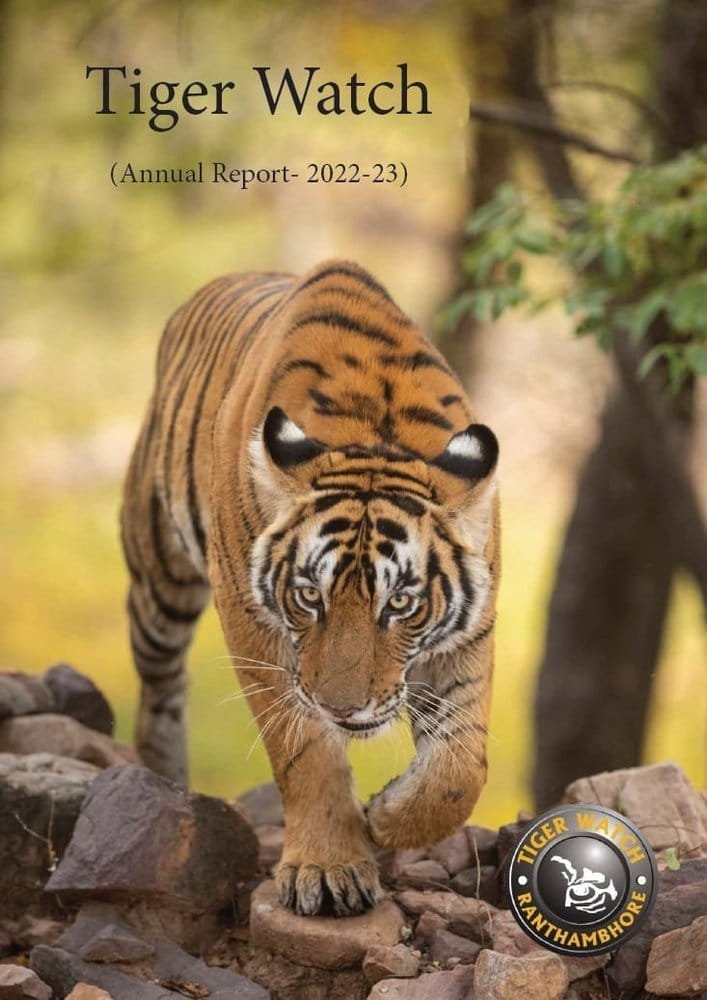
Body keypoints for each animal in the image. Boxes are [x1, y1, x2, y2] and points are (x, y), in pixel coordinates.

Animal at [120, 258, 500, 917]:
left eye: (401, 603)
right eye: (308, 596)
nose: (342, 708)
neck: (375, 432)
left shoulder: (471, 633)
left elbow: (459, 769)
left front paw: (387, 815)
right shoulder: (252, 620)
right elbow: (306, 753)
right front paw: (328, 869)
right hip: (159, 579)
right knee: (162, 687)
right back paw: (166, 776)